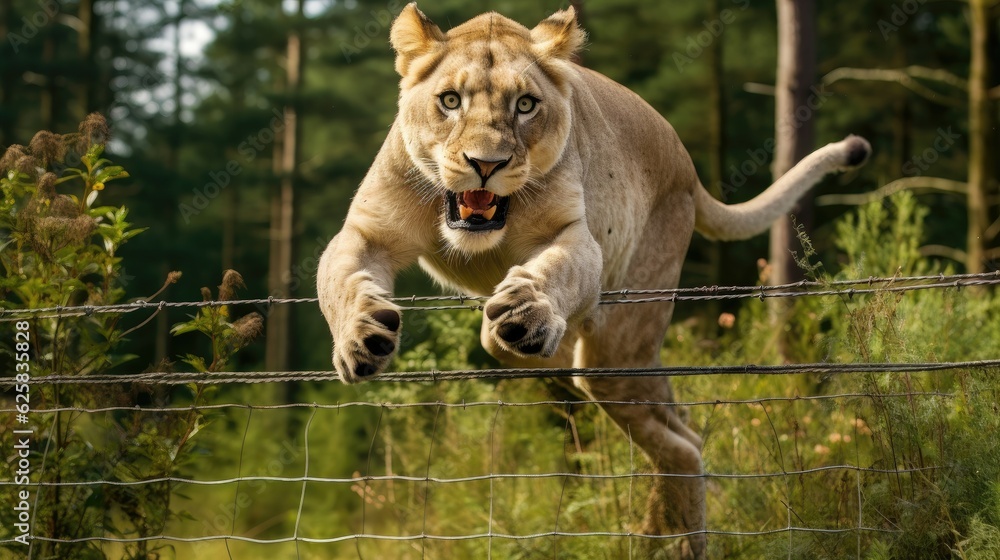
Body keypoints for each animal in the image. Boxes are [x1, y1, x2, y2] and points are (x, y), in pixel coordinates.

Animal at [317, 4, 870, 558]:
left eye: (525, 105)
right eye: (450, 101)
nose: (486, 164)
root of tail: (689, 170)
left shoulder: (577, 238)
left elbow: (556, 271)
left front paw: (530, 310)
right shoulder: (367, 231)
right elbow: (340, 282)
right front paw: (363, 339)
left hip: (621, 340)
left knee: (680, 443)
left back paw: (676, 539)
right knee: (663, 415)